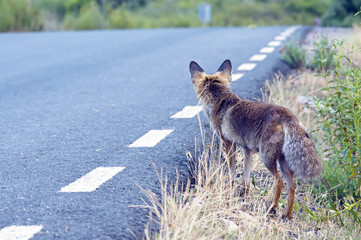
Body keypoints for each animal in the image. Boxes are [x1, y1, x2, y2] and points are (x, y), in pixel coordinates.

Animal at [190, 59, 322, 218]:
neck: (220, 101)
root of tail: (285, 113)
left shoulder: (229, 144)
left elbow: (231, 171)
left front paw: (230, 189)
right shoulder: (247, 149)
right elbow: (246, 176)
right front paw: (244, 194)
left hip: (266, 158)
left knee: (279, 182)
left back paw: (272, 208)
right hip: (282, 161)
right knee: (292, 187)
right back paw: (287, 215)